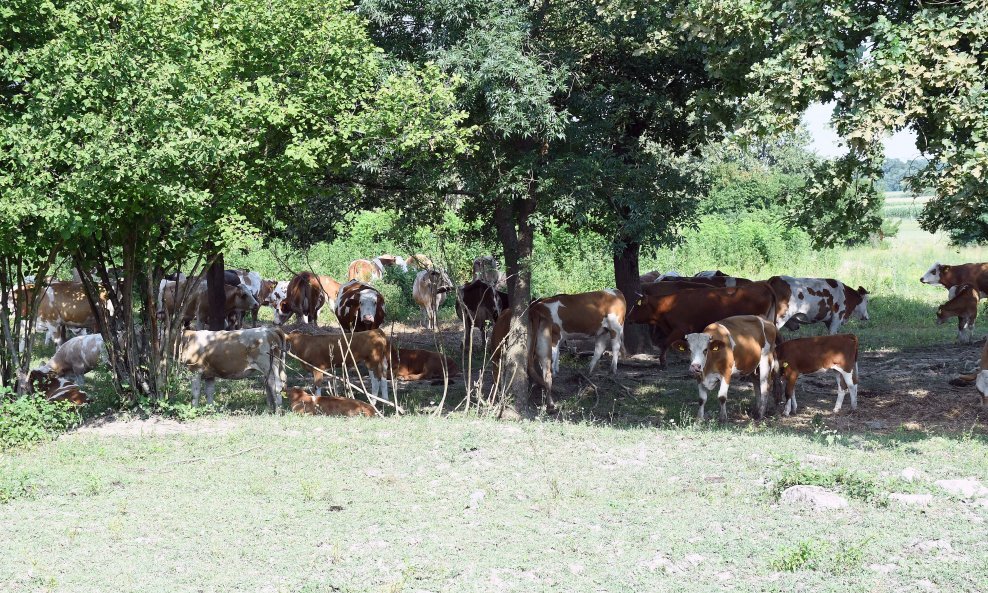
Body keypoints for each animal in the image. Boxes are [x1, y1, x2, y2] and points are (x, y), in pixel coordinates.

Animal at [624, 282, 780, 366]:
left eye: (636, 306)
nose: (628, 317)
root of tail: (761, 284)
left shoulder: (680, 329)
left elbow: (665, 343)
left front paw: (663, 362)